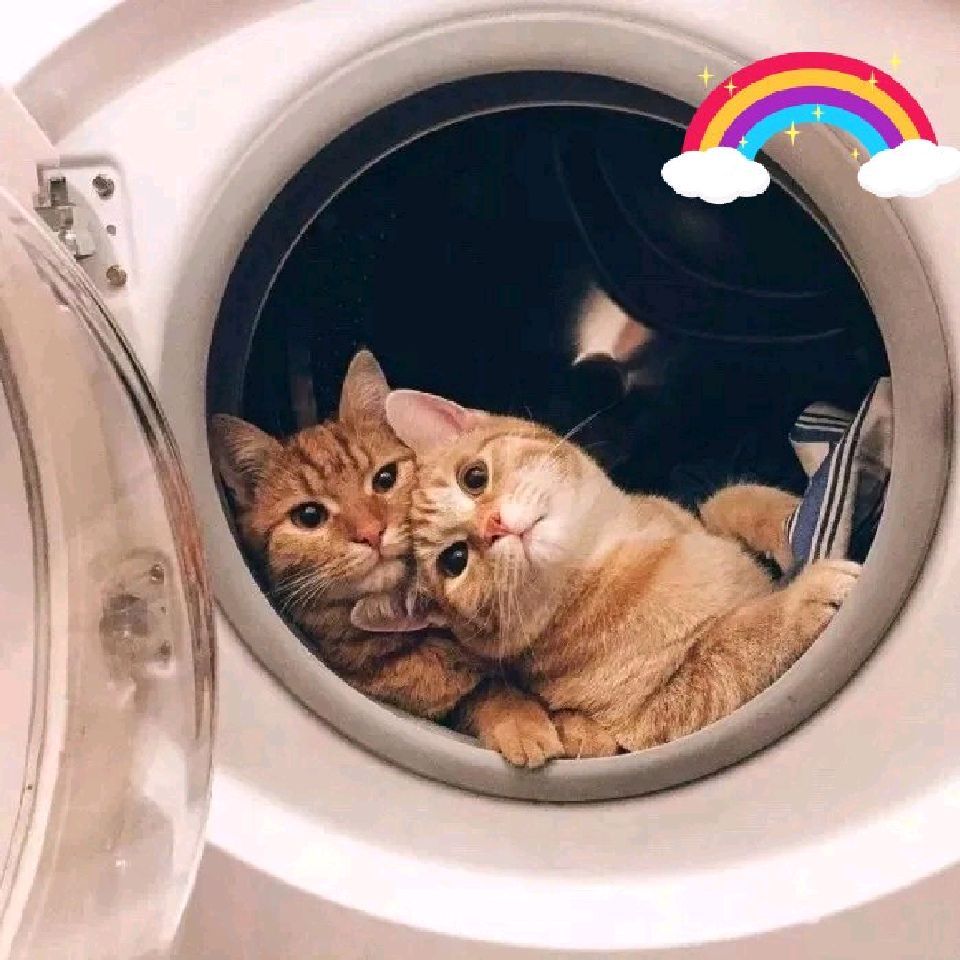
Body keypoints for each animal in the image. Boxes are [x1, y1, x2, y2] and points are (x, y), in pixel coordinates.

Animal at [382, 388, 860, 759]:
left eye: (474, 477)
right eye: (454, 560)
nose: (493, 527)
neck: (618, 546)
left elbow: (727, 500)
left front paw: (786, 518)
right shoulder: (663, 710)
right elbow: (744, 641)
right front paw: (806, 595)